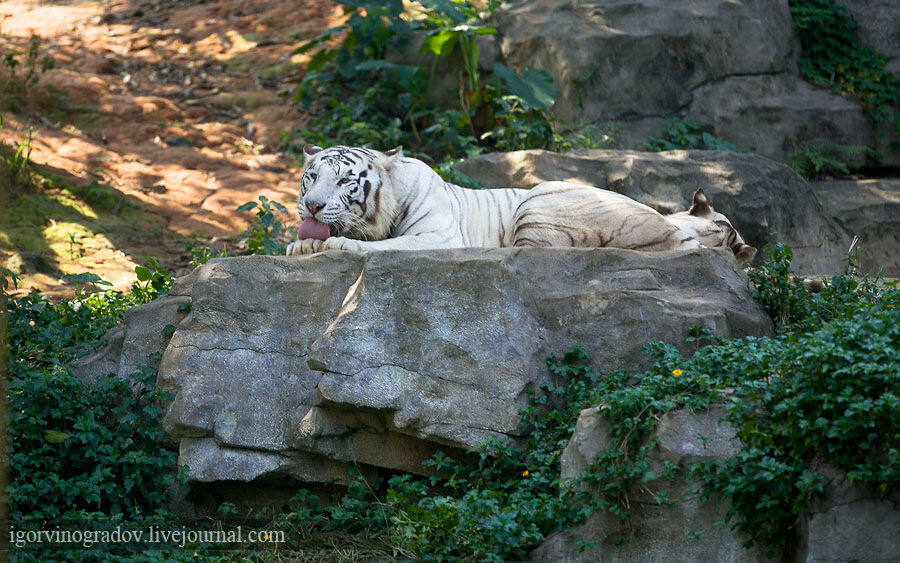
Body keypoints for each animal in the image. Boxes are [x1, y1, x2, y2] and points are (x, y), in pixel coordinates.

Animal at [284, 144, 756, 262]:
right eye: (311, 177)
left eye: (345, 180)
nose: (312, 206)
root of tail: (673, 229)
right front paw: (300, 244)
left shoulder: (441, 236)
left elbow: (385, 246)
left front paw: (336, 244)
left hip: (540, 196)